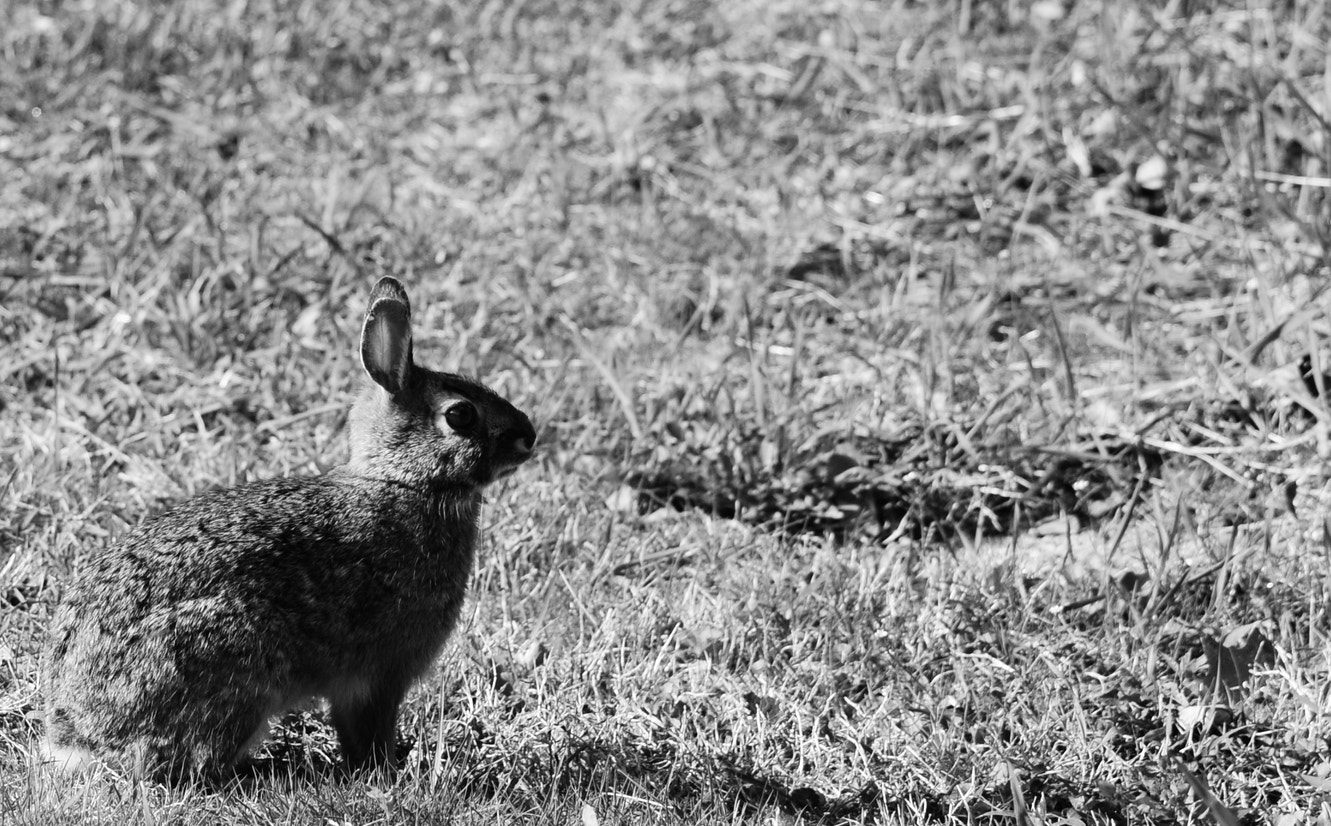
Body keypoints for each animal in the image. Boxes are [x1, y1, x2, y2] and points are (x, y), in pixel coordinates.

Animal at [37, 275, 535, 782]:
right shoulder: (380, 675)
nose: (528, 437)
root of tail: (77, 733)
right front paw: (385, 773)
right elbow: (370, 731)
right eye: (460, 415)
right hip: (225, 655)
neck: (404, 481)